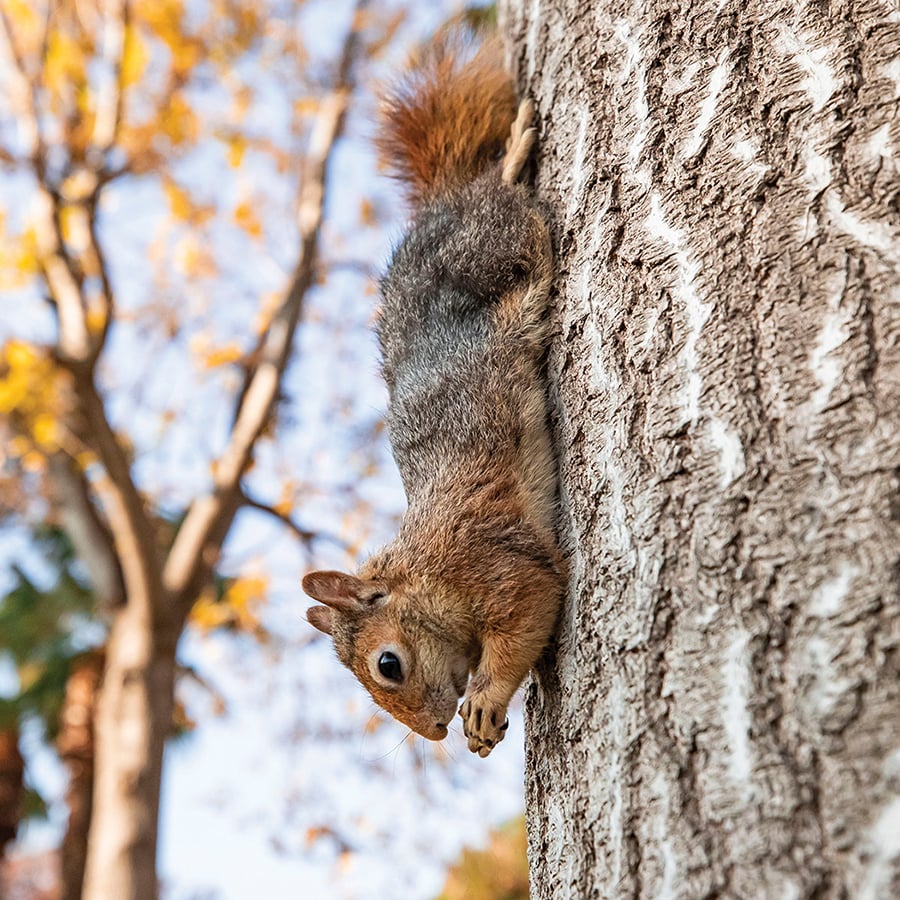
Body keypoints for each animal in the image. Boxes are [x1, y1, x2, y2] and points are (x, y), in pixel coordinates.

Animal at [302, 33, 565, 758]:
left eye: (387, 664)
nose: (433, 731)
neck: (420, 571)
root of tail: (438, 207)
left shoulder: (492, 562)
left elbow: (533, 605)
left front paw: (485, 702)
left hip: (497, 246)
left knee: (500, 198)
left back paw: (514, 153)